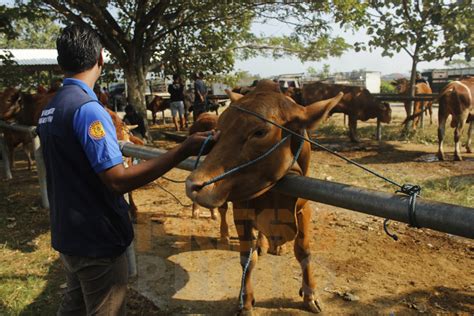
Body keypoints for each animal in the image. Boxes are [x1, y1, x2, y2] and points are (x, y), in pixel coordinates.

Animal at [186, 79, 344, 314]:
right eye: (220, 130)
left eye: (260, 132)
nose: (194, 184)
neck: (275, 197)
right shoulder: (241, 207)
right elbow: (247, 258)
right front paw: (245, 300)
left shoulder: (302, 207)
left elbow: (304, 251)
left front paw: (310, 294)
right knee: (223, 211)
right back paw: (224, 233)